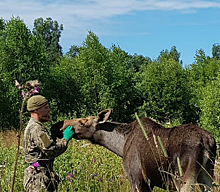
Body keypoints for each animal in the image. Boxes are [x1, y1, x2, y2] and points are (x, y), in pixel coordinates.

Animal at [51, 109, 217, 192]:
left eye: (83, 121)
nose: (55, 126)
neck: (120, 145)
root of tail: (206, 141)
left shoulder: (135, 178)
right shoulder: (148, 184)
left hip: (183, 179)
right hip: (207, 177)